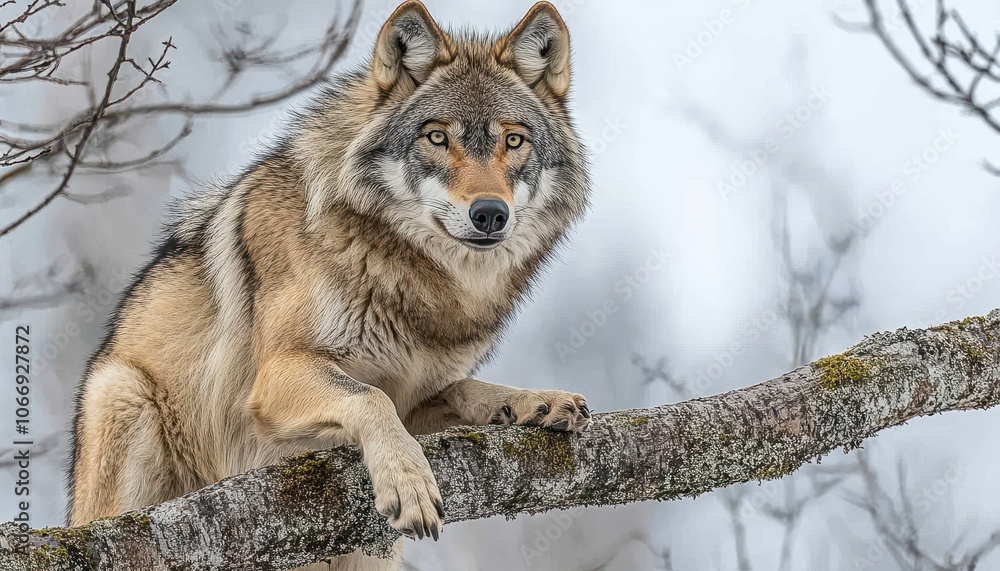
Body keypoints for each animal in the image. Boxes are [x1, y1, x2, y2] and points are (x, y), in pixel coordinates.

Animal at [67, 1, 591, 568]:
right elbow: (369, 398)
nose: (491, 213)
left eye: (514, 140)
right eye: (436, 136)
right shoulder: (279, 375)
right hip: (122, 392)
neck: (416, 281)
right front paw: (408, 482)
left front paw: (533, 402)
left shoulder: (419, 393)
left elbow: (462, 387)